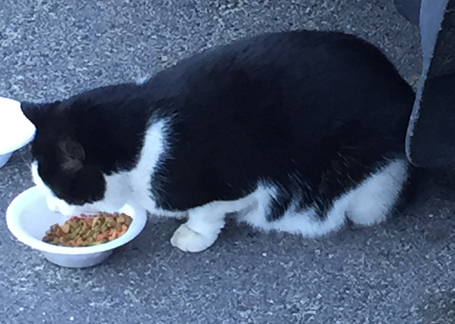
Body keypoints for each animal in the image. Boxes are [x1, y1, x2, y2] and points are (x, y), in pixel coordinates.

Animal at [20, 30, 416, 253]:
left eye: (57, 189)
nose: (51, 205)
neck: (143, 132)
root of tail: (404, 90)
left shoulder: (231, 182)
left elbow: (207, 213)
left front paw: (193, 235)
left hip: (367, 182)